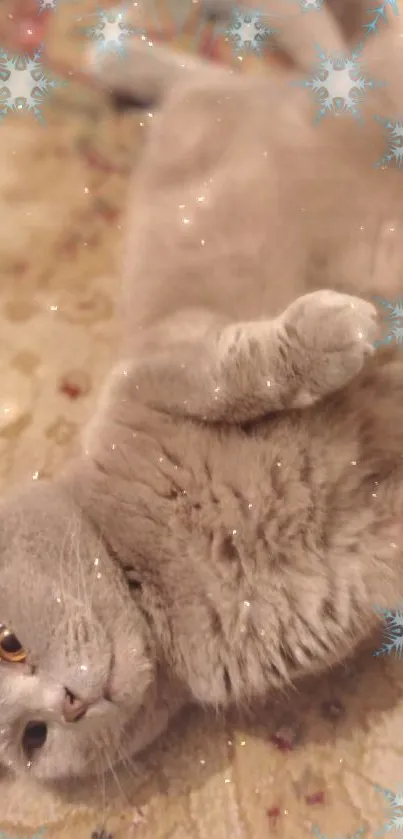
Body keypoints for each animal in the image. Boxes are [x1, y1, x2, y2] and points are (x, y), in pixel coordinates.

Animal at [0, 1, 403, 788]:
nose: (65, 707)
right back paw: (123, 58)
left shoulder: (158, 367)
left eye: (8, 641)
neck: (159, 571)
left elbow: (235, 369)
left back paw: (124, 55)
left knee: (300, 63)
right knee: (301, 64)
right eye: (32, 738)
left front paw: (338, 332)